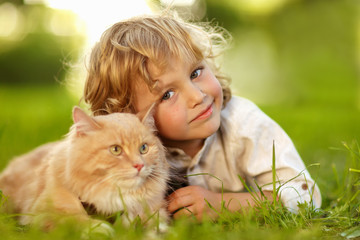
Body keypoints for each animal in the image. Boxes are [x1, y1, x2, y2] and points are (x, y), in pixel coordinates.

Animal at [0, 106, 169, 232]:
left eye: (143, 148)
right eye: (115, 150)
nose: (139, 165)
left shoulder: (155, 211)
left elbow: (152, 222)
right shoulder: (42, 214)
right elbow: (75, 220)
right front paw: (100, 228)